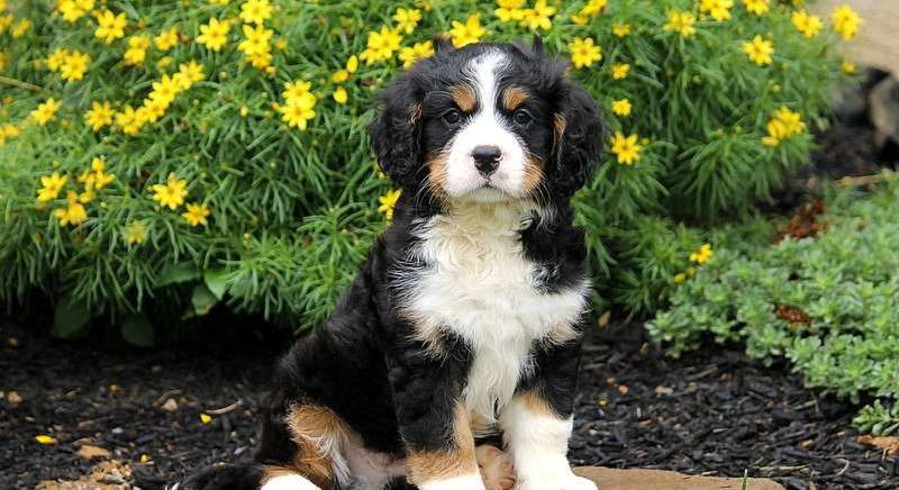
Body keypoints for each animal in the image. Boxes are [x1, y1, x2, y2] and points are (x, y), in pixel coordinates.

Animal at [182, 39, 604, 490]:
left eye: (523, 116)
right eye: (452, 116)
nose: (486, 156)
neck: (485, 229)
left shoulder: (552, 338)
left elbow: (544, 426)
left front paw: (553, 480)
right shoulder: (423, 351)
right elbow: (442, 438)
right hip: (305, 382)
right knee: (277, 462)